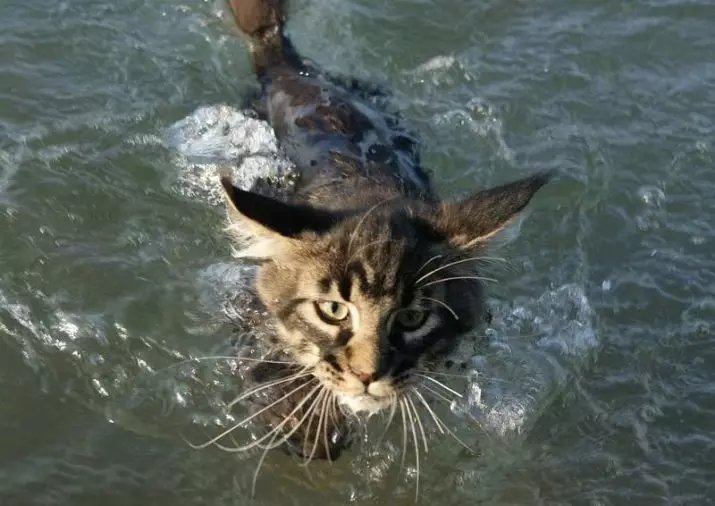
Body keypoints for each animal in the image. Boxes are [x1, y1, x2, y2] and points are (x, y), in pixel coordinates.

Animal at [215, 0, 552, 464]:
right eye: (332, 310)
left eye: (413, 317)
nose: (366, 374)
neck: (368, 188)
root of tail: (289, 70)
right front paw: (306, 424)